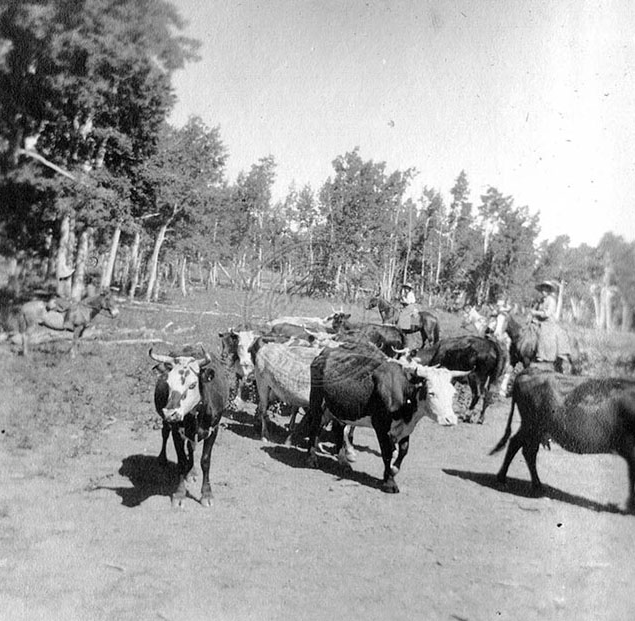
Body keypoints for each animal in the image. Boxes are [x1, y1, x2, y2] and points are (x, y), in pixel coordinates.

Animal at [150, 346, 230, 506]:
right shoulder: (177, 432)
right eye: (168, 383)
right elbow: (181, 461)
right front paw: (180, 494)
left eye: (192, 385)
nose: (170, 413)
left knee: (191, 446)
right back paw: (162, 459)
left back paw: (191, 471)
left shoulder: (214, 430)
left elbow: (205, 461)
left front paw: (206, 494)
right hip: (166, 422)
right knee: (165, 433)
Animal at [306, 342, 464, 492]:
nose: (450, 420)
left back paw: (343, 462)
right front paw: (389, 483)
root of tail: (325, 352)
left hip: (340, 409)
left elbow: (403, 450)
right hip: (317, 402)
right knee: (314, 426)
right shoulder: (381, 426)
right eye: (431, 392)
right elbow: (387, 452)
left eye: (453, 393)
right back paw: (312, 458)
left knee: (338, 429)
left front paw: (393, 471)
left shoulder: (405, 426)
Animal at [492, 366, 635, 512]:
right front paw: (631, 506)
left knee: (527, 451)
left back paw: (536, 485)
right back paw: (503, 480)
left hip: (536, 429)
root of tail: (531, 370)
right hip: (531, 425)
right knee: (517, 445)